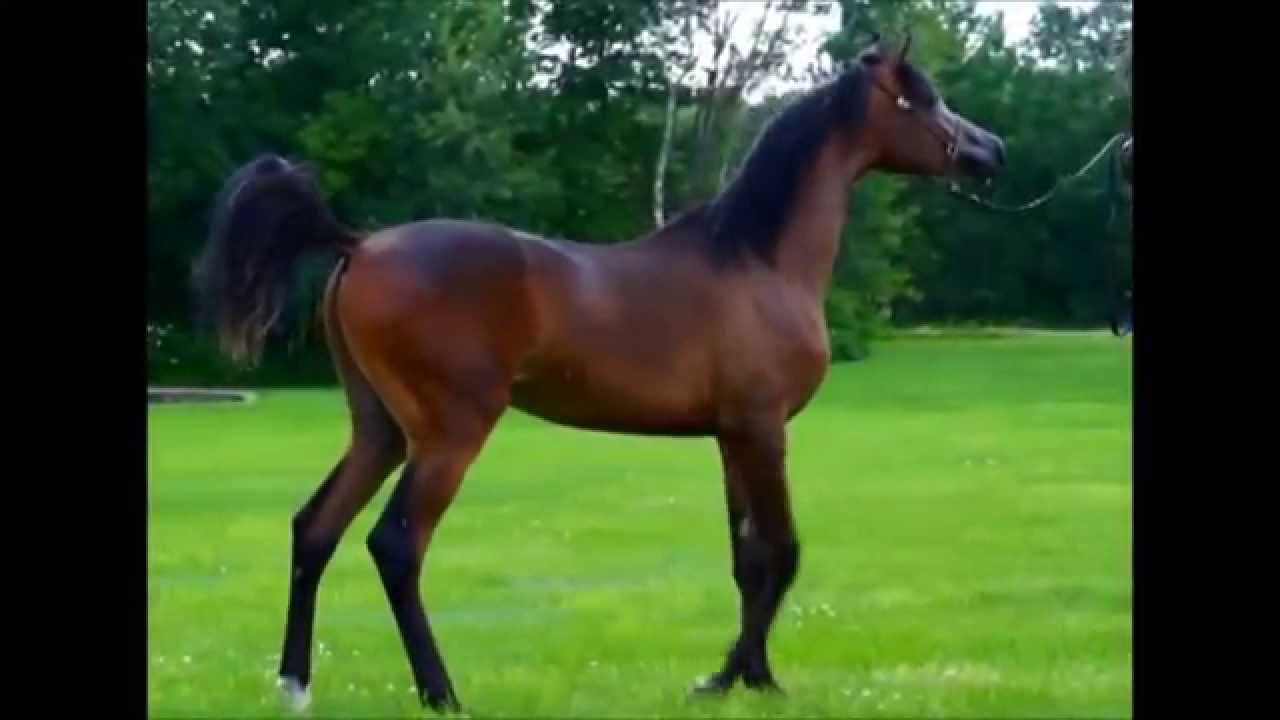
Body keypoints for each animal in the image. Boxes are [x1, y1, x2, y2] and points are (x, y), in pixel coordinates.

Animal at [193, 33, 1006, 714]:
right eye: (923, 97)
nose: (991, 150)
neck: (755, 260)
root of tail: (358, 244)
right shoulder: (763, 429)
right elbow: (783, 552)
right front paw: (729, 678)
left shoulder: (729, 437)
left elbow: (748, 560)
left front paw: (750, 677)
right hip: (449, 434)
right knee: (395, 545)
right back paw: (442, 693)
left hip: (379, 430)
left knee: (315, 528)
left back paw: (295, 683)